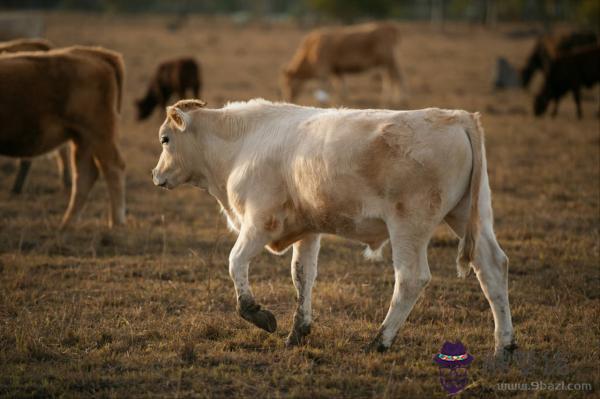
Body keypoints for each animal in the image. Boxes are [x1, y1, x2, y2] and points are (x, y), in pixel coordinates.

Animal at [151, 99, 516, 356]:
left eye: (165, 139)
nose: (156, 175)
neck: (243, 142)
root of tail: (456, 117)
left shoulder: (259, 222)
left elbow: (235, 262)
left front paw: (258, 314)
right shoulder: (307, 229)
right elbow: (302, 276)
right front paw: (298, 331)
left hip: (408, 226)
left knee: (411, 279)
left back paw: (380, 341)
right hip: (469, 214)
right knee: (492, 268)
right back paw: (505, 346)